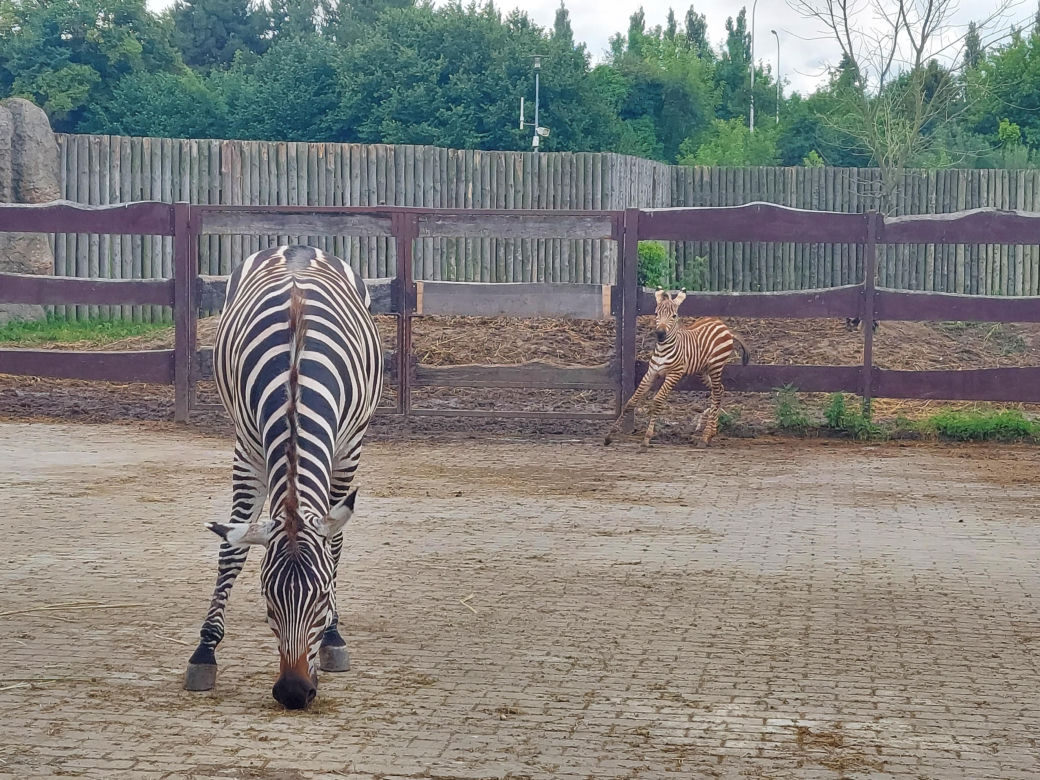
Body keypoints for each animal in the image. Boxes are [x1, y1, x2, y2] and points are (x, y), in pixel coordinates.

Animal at [183, 245, 383, 710]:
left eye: (322, 595)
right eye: (266, 596)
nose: (293, 693)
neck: (295, 377)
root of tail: (298, 247)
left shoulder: (348, 450)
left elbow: (335, 547)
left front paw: (332, 635)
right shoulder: (248, 448)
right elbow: (231, 549)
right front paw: (204, 652)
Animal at [605, 287, 749, 449]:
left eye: (674, 316)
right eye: (656, 313)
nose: (660, 334)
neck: (663, 349)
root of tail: (723, 326)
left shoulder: (674, 374)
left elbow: (657, 401)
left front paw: (647, 438)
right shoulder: (651, 372)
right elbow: (632, 401)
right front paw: (610, 435)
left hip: (716, 366)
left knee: (717, 393)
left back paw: (705, 437)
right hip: (703, 370)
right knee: (719, 390)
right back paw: (711, 433)